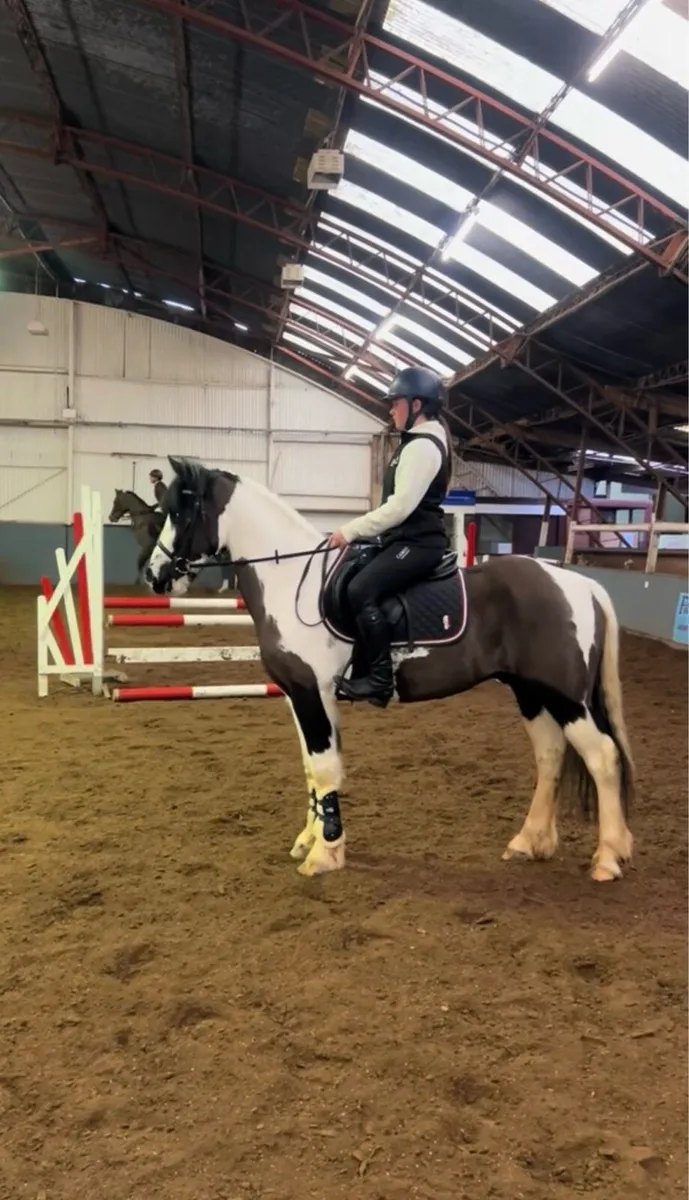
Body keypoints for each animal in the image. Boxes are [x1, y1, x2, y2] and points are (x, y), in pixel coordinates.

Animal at [145, 455, 635, 885]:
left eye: (181, 511)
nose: (154, 575)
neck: (293, 582)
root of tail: (581, 584)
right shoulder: (300, 695)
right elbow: (312, 768)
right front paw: (310, 840)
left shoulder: (312, 692)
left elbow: (325, 769)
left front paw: (325, 855)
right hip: (531, 692)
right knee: (551, 755)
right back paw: (529, 841)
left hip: (564, 697)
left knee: (603, 757)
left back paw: (608, 858)